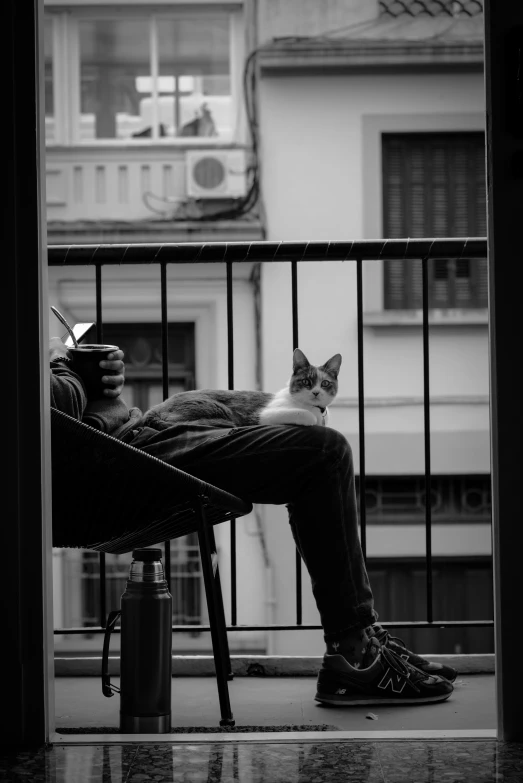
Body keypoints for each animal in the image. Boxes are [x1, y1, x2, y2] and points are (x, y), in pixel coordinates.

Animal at [140, 350, 344, 432]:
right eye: (307, 381)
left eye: (325, 383)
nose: (316, 392)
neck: (317, 409)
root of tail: (155, 408)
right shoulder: (265, 415)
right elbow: (306, 416)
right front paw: (311, 419)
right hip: (216, 408)